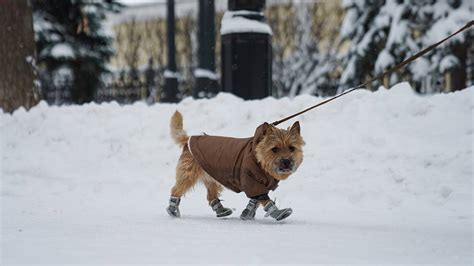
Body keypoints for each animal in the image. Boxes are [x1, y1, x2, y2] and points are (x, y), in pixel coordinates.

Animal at [167, 111, 306, 221]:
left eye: (291, 148)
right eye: (274, 149)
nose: (287, 161)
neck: (259, 159)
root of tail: (188, 139)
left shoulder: (263, 184)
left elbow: (255, 200)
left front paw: (247, 214)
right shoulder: (251, 181)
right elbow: (263, 198)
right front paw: (277, 212)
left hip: (211, 175)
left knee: (211, 195)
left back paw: (221, 210)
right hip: (188, 174)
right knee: (176, 189)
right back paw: (172, 209)